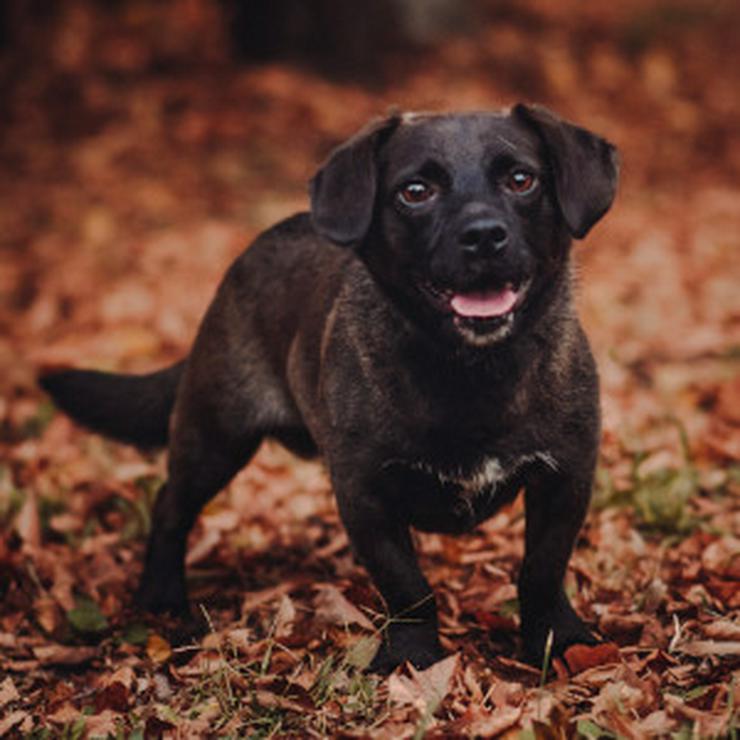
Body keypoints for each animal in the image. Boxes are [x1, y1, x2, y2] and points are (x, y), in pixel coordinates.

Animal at [40, 105, 620, 676]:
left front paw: (559, 641)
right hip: (212, 440)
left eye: (521, 179)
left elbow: (541, 570)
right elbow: (408, 587)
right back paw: (160, 595)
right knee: (169, 509)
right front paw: (413, 657)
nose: (482, 235)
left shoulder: (564, 480)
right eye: (415, 191)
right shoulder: (366, 495)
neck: (472, 371)